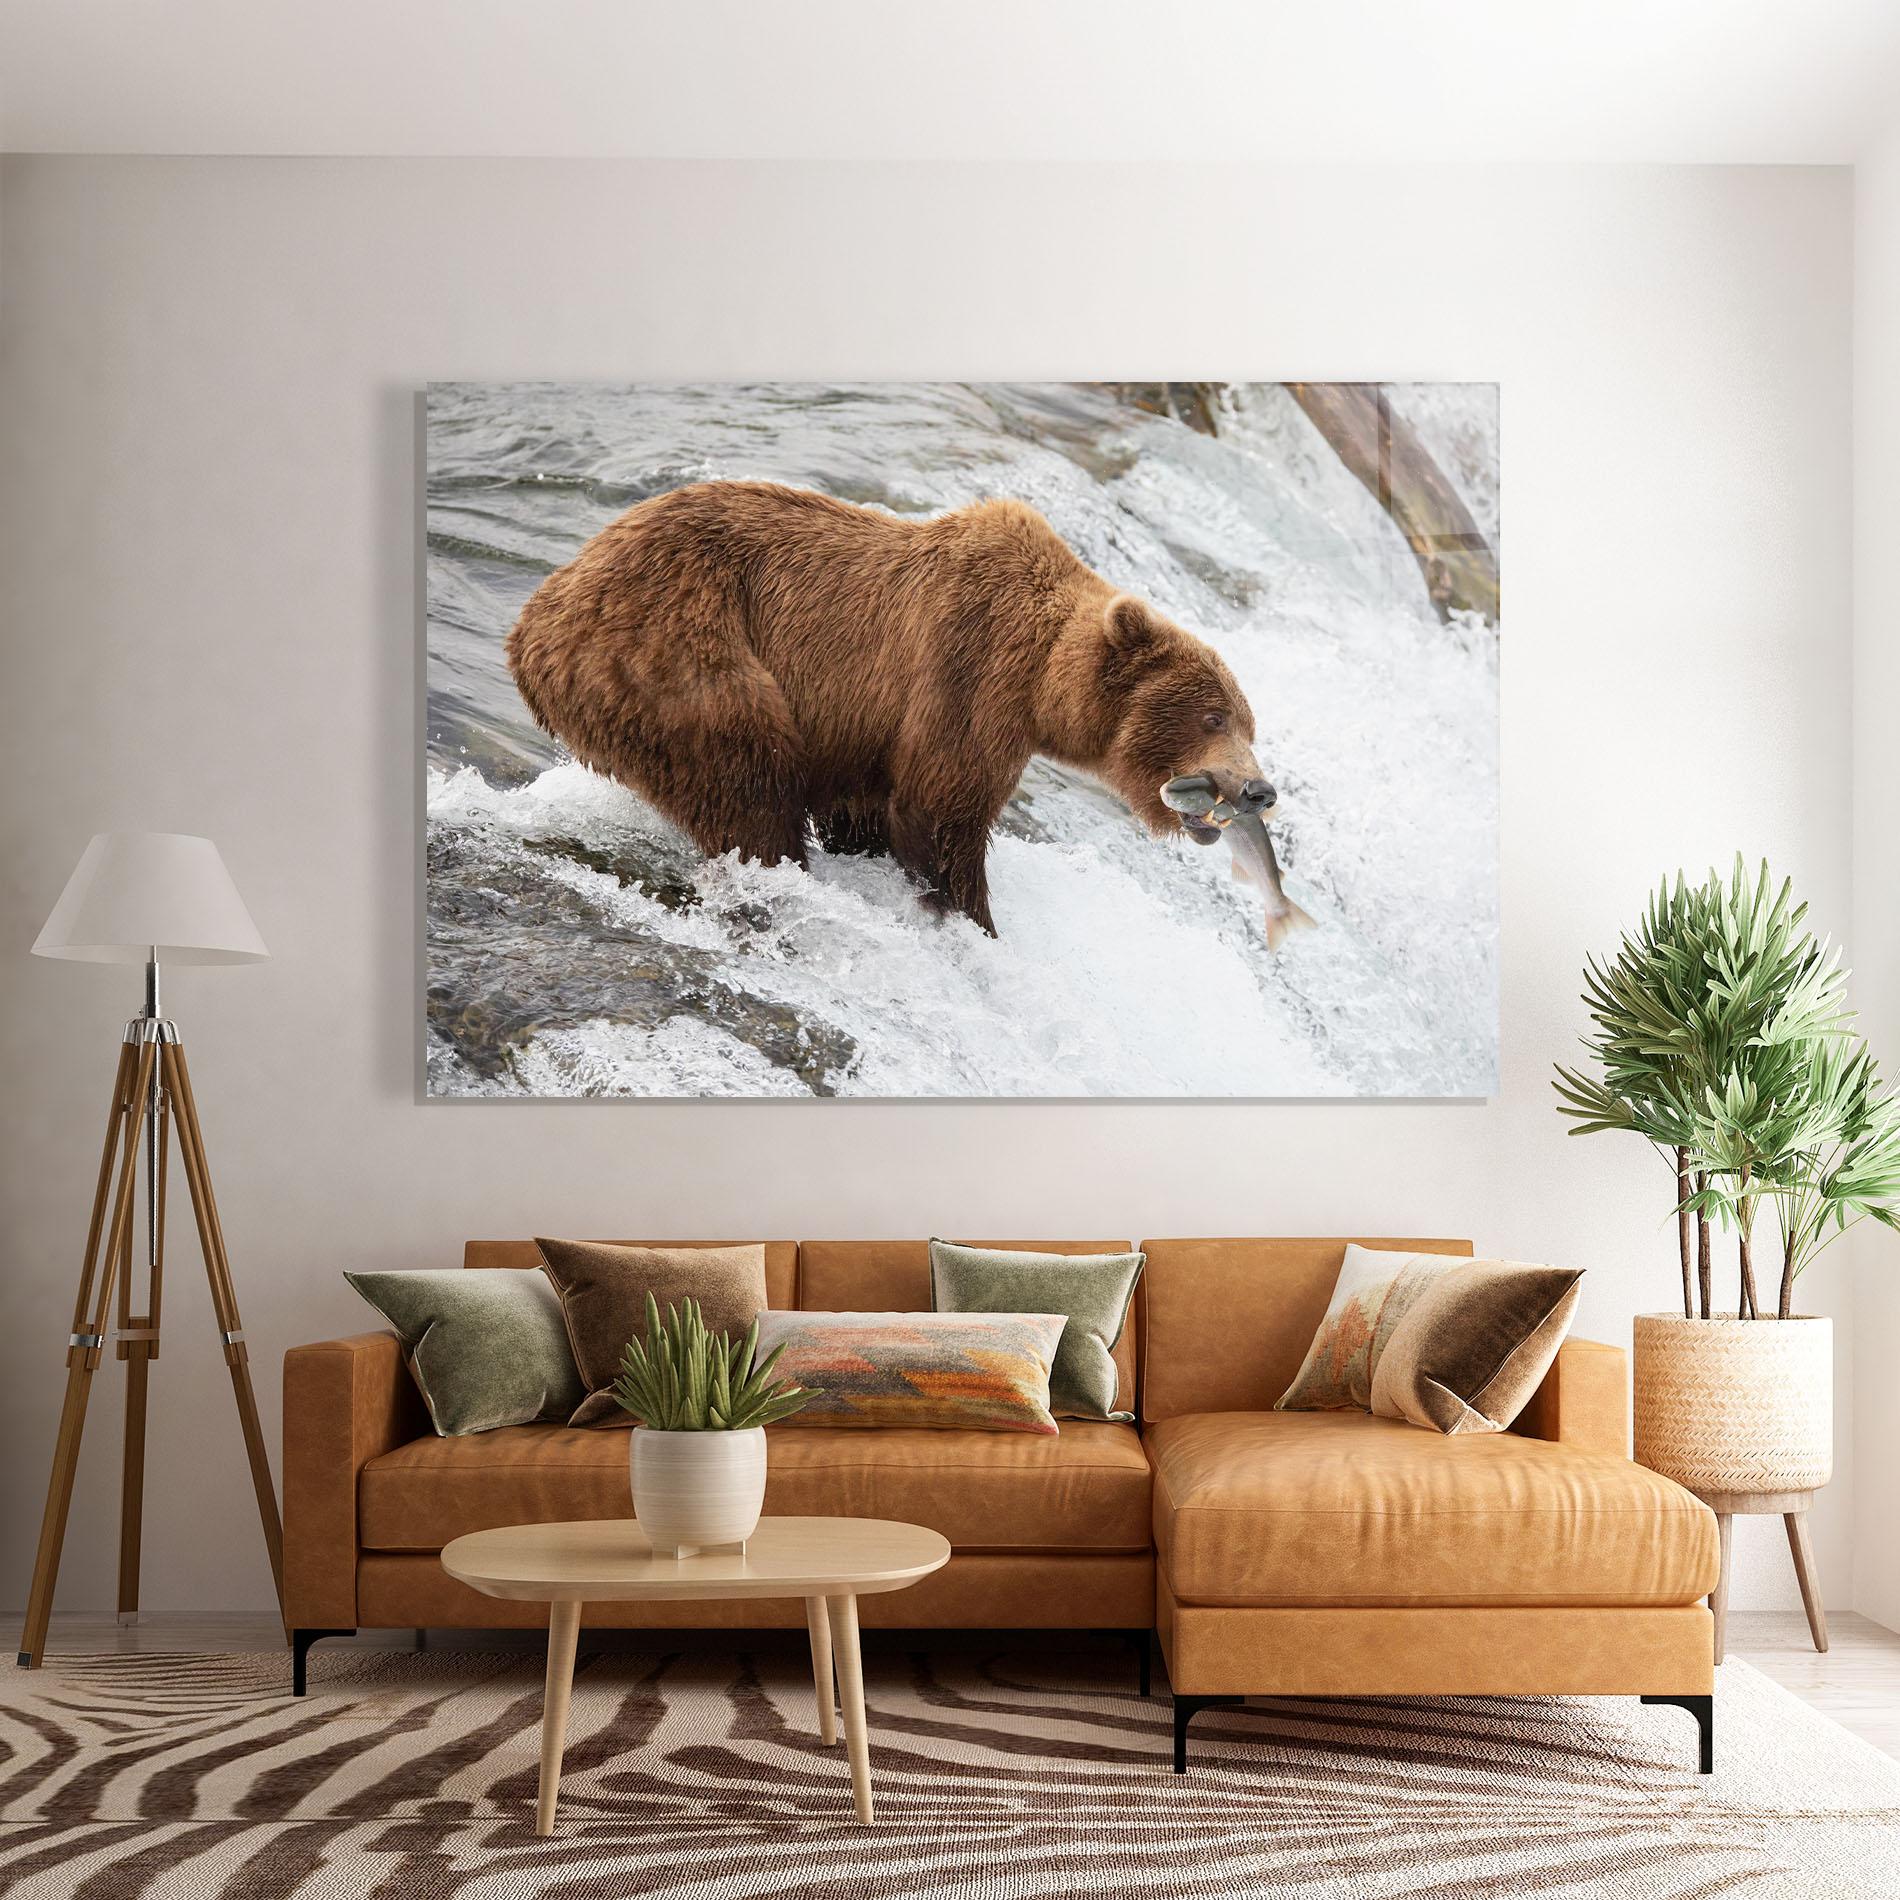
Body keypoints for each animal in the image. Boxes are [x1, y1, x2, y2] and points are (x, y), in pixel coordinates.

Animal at [507, 480, 1275, 936]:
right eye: (1213, 716)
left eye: (1249, 722)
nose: (1259, 790)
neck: (1042, 680)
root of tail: (534, 620)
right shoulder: (968, 672)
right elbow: (940, 812)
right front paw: (973, 920)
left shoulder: (865, 733)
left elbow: (869, 809)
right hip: (677, 651)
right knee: (747, 779)